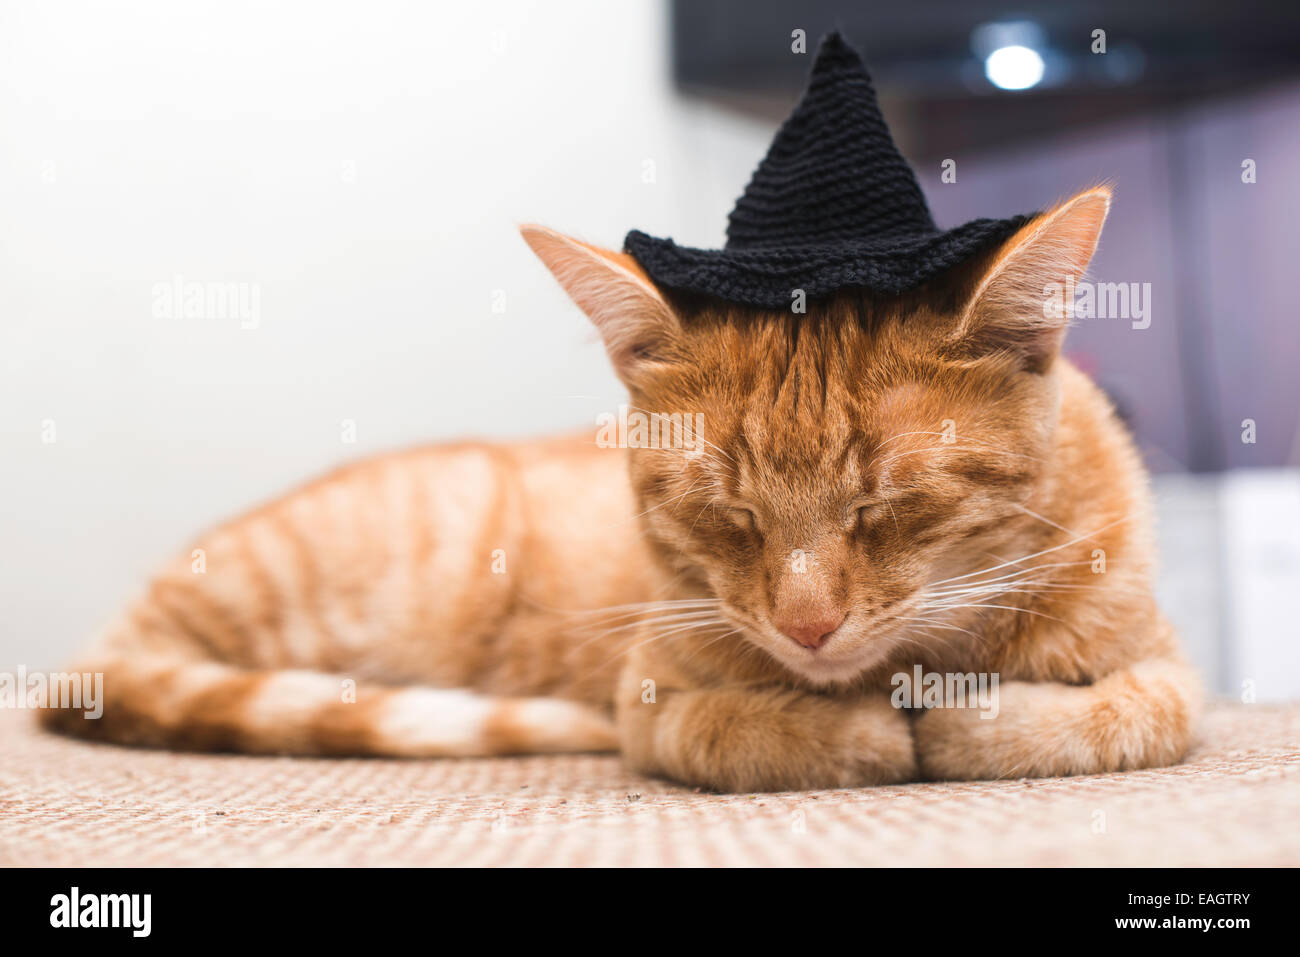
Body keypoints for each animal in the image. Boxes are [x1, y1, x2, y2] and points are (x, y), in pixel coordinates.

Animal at [43, 184, 1196, 790]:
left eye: (884, 506)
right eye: (727, 516)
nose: (806, 627)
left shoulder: (1167, 671)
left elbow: (1123, 714)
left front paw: (967, 719)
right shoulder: (649, 699)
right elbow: (740, 729)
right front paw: (859, 731)